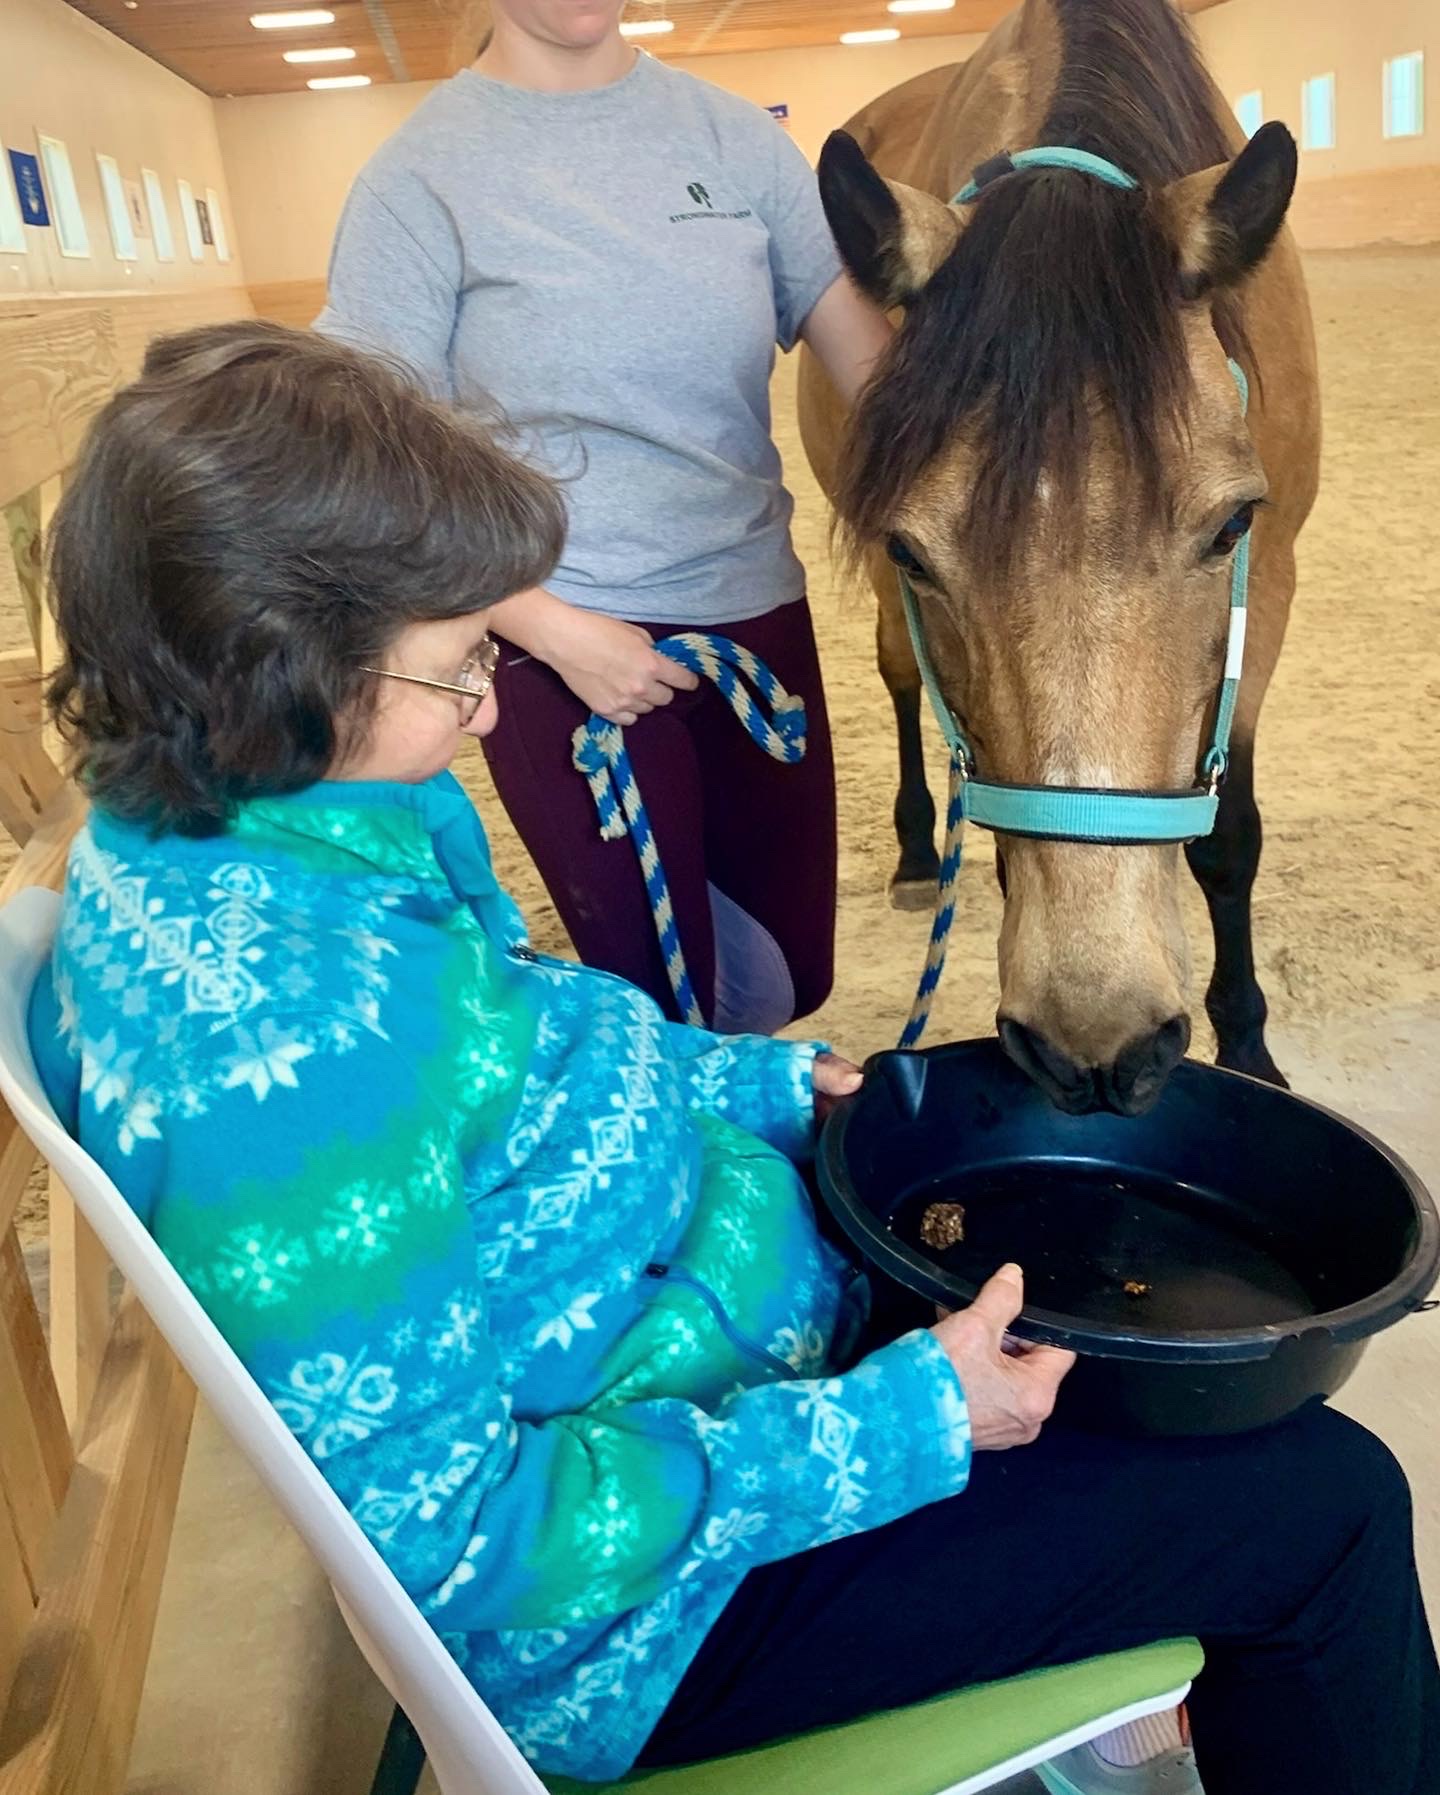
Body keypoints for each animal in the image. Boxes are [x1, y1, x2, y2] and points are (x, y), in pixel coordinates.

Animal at [797, 0, 1320, 1116]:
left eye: (1231, 528)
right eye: (914, 551)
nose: (1100, 1042)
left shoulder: (1274, 578)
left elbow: (1229, 838)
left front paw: (1249, 1043)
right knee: (900, 682)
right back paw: (918, 847)